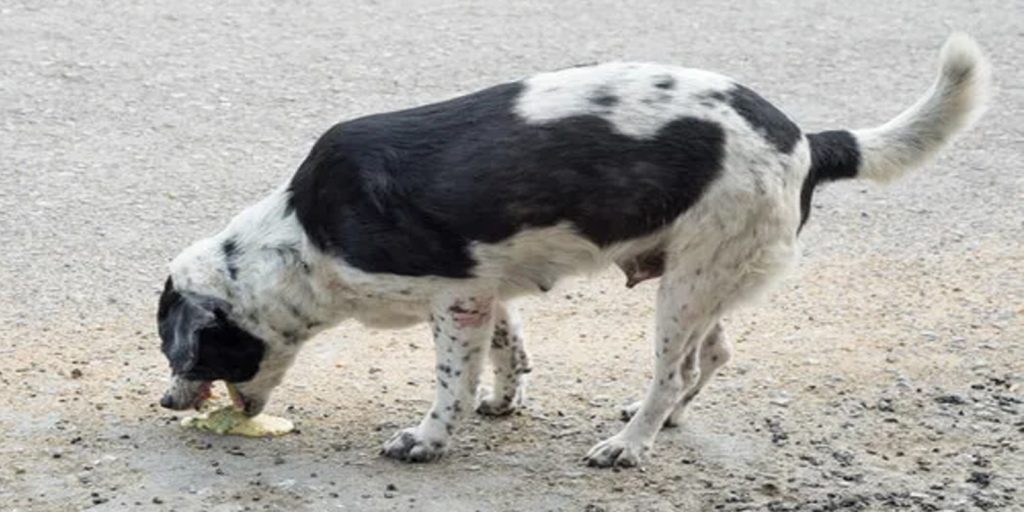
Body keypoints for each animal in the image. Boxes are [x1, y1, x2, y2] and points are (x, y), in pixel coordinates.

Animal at [155, 34, 987, 468]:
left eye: (179, 352)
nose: (164, 403)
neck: (302, 236)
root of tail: (808, 140)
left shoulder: (454, 299)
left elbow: (450, 382)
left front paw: (430, 438)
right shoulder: (483, 290)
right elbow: (508, 351)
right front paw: (503, 402)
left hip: (686, 286)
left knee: (674, 370)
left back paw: (629, 442)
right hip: (706, 274)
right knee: (713, 354)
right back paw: (665, 420)